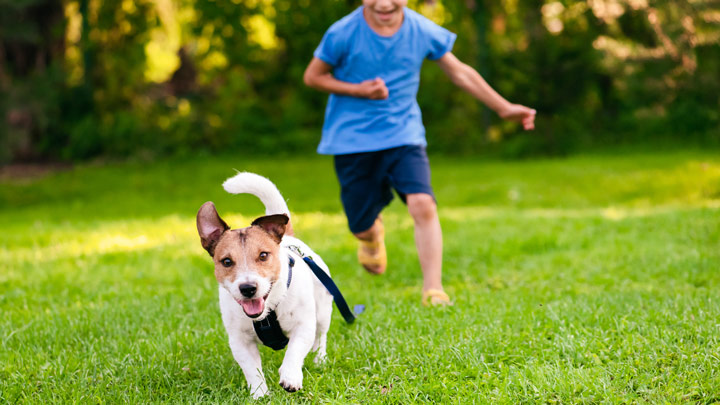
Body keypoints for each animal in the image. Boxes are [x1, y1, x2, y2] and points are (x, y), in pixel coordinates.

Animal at [195, 171, 334, 398]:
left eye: (263, 255)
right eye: (226, 261)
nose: (248, 288)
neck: (268, 311)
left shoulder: (303, 326)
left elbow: (295, 351)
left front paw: (290, 376)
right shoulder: (239, 341)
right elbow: (252, 370)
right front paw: (259, 394)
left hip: (323, 311)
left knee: (321, 337)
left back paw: (319, 359)